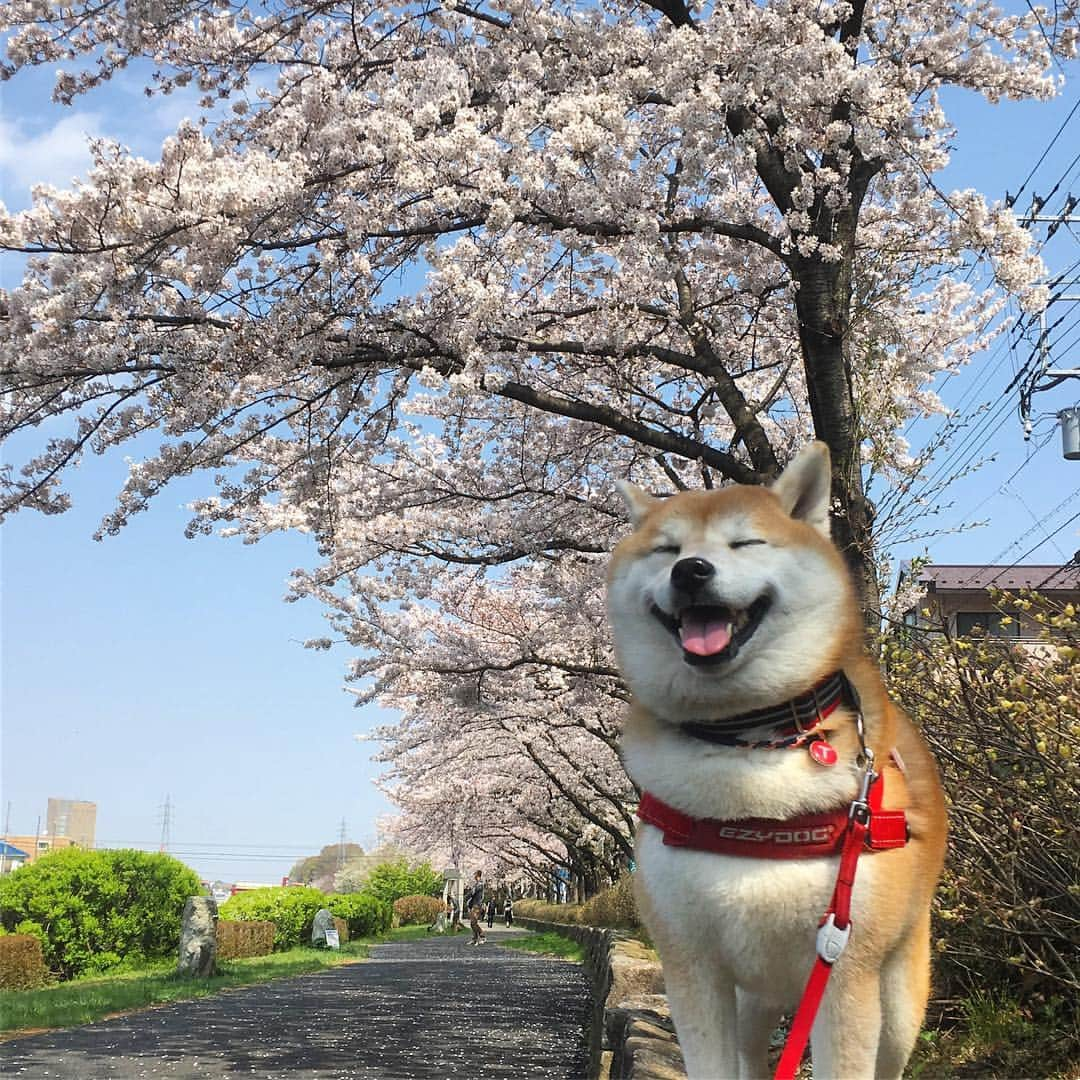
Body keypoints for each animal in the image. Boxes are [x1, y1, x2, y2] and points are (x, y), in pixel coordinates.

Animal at [609, 440, 946, 1080]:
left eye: (746, 543)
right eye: (666, 550)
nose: (691, 570)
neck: (748, 740)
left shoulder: (846, 969)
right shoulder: (692, 967)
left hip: (898, 1001)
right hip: (752, 1001)